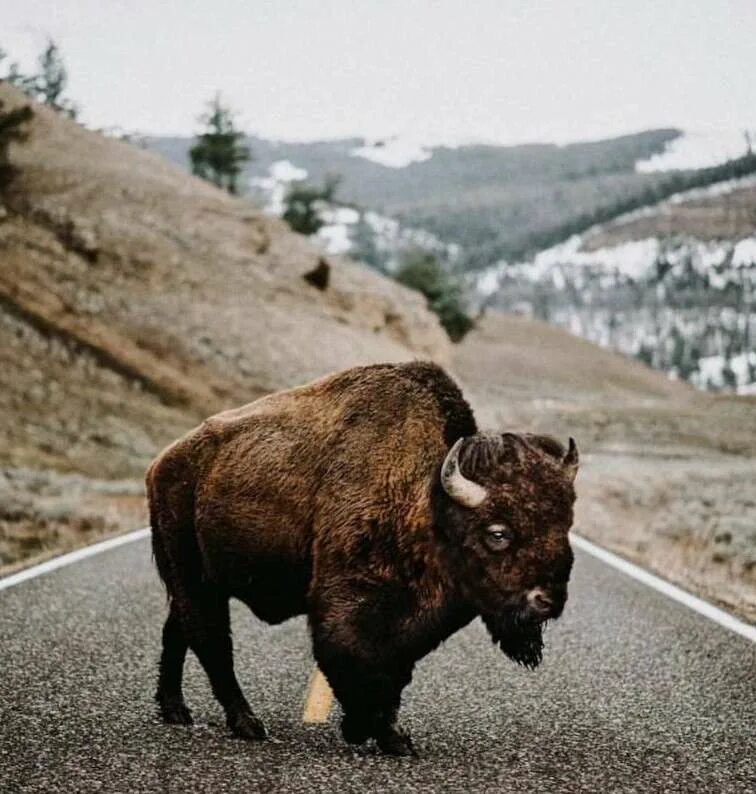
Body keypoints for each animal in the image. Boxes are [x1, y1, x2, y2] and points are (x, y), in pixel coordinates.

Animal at [152, 362, 580, 752]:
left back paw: (176, 710)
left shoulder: (411, 627)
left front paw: (390, 735)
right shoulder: (347, 606)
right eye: (498, 533)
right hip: (194, 577)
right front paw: (370, 732)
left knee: (179, 630)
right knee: (211, 641)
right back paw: (246, 723)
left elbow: (395, 674)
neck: (428, 503)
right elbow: (357, 664)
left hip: (197, 581)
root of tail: (162, 463)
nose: (548, 600)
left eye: (566, 524)